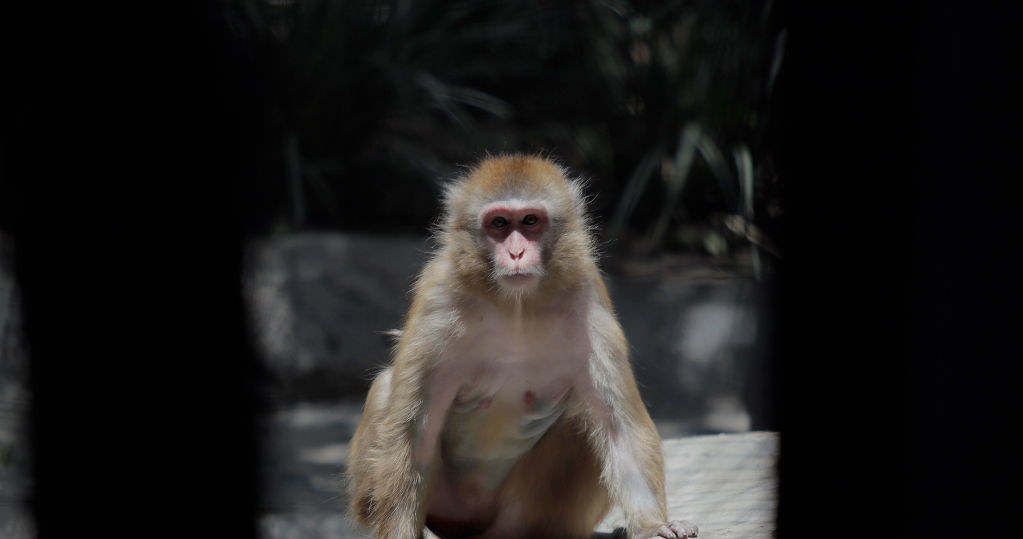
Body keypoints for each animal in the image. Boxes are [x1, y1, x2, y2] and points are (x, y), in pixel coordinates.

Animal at [345, 154, 695, 535]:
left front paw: (651, 525)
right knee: (385, 386)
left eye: (530, 221)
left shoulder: (588, 298)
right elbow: (414, 435)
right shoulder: (437, 298)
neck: (516, 306)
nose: (515, 253)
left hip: (525, 515)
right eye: (499, 223)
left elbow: (620, 429)